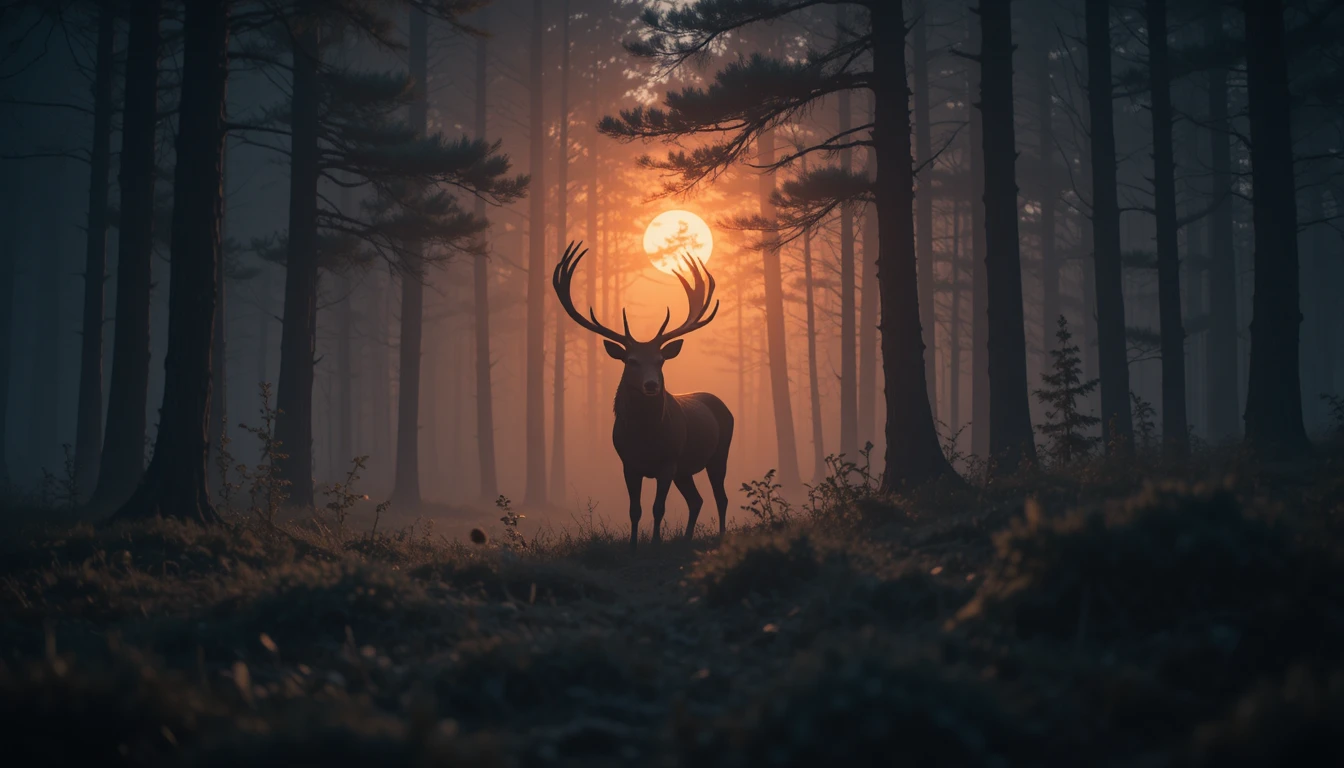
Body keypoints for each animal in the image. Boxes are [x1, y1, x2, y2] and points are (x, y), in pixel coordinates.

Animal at [553, 241, 734, 549]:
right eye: (631, 360)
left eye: (660, 360)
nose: (651, 385)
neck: (646, 438)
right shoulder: (628, 463)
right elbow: (634, 509)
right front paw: (634, 544)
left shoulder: (668, 462)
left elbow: (658, 508)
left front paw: (655, 542)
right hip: (685, 469)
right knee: (696, 500)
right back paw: (686, 538)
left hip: (718, 453)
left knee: (720, 498)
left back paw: (721, 535)